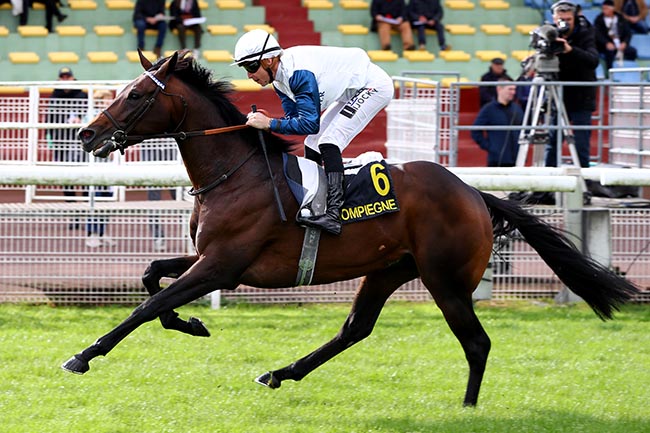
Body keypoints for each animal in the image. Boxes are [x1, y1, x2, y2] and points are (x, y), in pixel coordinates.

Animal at [64, 50, 636, 404]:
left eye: (136, 95)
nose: (86, 133)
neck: (235, 172)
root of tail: (474, 194)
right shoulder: (213, 260)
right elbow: (151, 277)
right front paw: (193, 323)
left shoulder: (223, 264)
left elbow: (148, 304)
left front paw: (84, 356)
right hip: (389, 269)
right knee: (355, 328)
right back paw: (280, 372)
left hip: (446, 280)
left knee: (476, 343)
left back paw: (469, 408)